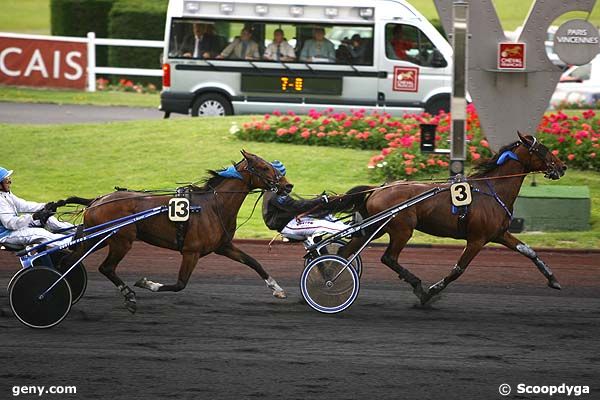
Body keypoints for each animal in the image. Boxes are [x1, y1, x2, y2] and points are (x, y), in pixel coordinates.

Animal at [68, 150, 292, 312]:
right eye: (264, 167)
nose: (288, 185)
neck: (213, 206)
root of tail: (96, 201)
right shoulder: (191, 252)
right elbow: (180, 284)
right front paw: (146, 283)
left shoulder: (223, 246)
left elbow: (254, 262)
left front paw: (277, 289)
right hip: (120, 241)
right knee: (106, 267)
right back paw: (129, 295)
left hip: (99, 239)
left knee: (72, 260)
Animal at [328, 133, 568, 304]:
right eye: (543, 149)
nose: (562, 166)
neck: (493, 191)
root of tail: (378, 189)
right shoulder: (477, 239)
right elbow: (457, 270)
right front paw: (431, 292)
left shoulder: (499, 234)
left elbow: (529, 251)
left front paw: (553, 279)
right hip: (401, 229)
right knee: (388, 258)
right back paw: (417, 285)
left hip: (374, 227)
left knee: (346, 251)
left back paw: (329, 277)